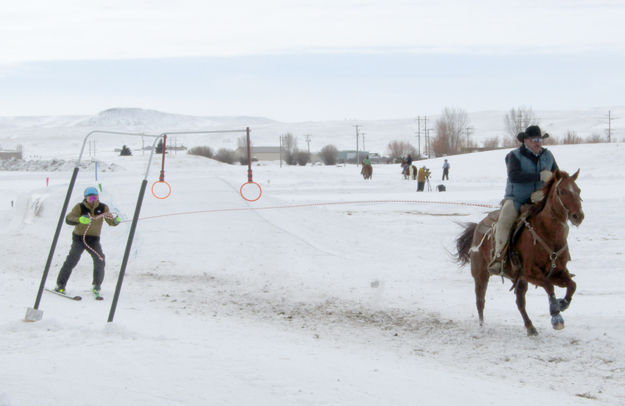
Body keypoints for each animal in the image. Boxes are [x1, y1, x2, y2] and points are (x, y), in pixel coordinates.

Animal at [454, 169, 584, 336]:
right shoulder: (530, 273)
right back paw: (483, 326)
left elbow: (572, 285)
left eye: (578, 190)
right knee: (480, 300)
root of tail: (478, 226)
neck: (547, 234)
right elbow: (549, 286)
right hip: (481, 274)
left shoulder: (557, 272)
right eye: (562, 191)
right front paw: (556, 315)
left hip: (518, 280)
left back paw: (530, 327)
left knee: (520, 302)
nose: (578, 216)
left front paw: (562, 303)